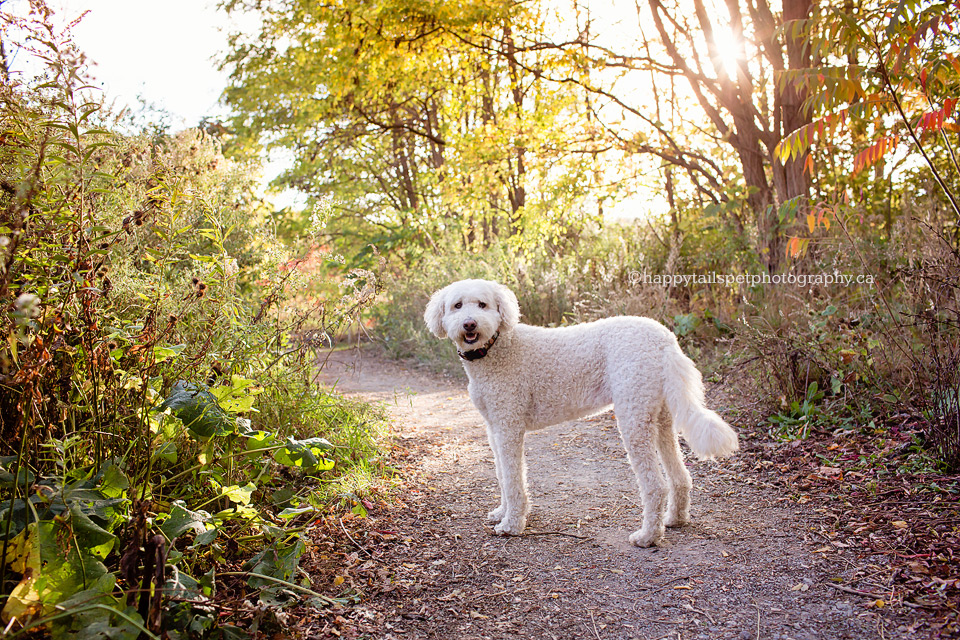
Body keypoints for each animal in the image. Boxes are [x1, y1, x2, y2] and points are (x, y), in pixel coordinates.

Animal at [424, 278, 740, 548]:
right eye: (457, 305)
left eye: (483, 305)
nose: (469, 324)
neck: (497, 348)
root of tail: (666, 340)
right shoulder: (495, 429)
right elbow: (503, 475)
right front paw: (502, 512)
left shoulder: (509, 427)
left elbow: (513, 480)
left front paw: (512, 524)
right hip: (660, 419)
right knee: (680, 477)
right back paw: (674, 520)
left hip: (633, 418)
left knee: (655, 486)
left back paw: (648, 536)